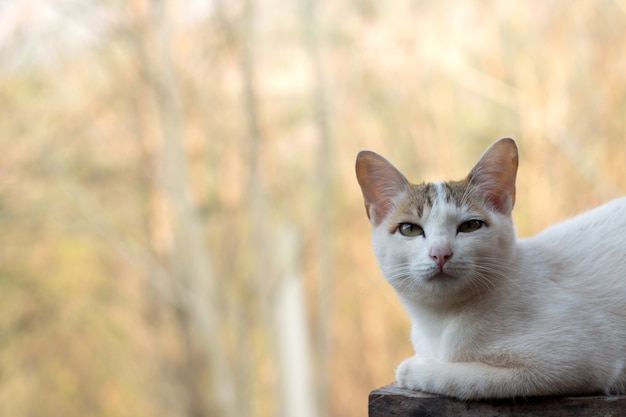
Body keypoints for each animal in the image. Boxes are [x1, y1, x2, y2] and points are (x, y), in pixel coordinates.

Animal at [356, 138, 624, 398]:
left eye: (470, 226)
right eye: (409, 229)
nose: (440, 252)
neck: (440, 321)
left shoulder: (566, 364)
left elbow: (466, 381)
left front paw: (415, 368)